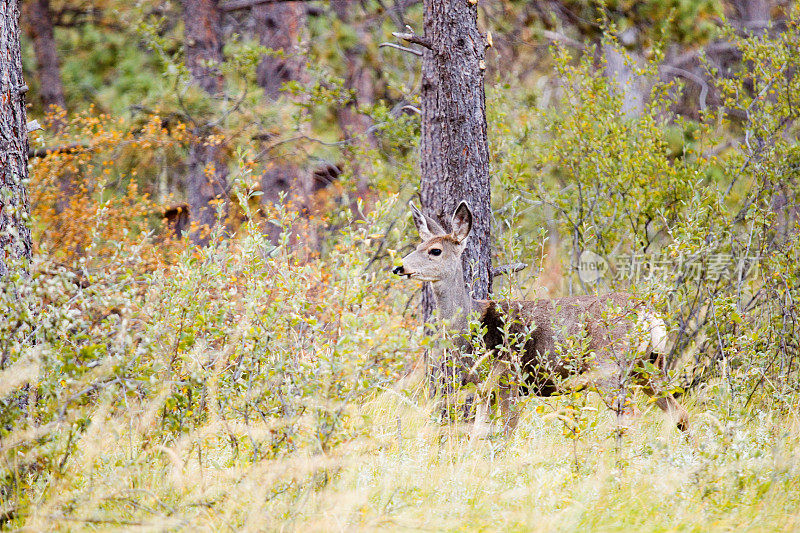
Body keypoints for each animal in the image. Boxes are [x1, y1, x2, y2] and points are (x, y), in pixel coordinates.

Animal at [392, 200, 688, 436]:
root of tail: (649, 314)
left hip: (610, 365)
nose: (399, 267)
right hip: (651, 366)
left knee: (630, 416)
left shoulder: (508, 376)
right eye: (419, 244)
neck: (471, 321)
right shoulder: (484, 387)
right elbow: (479, 431)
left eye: (435, 251)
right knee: (680, 413)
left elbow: (507, 431)